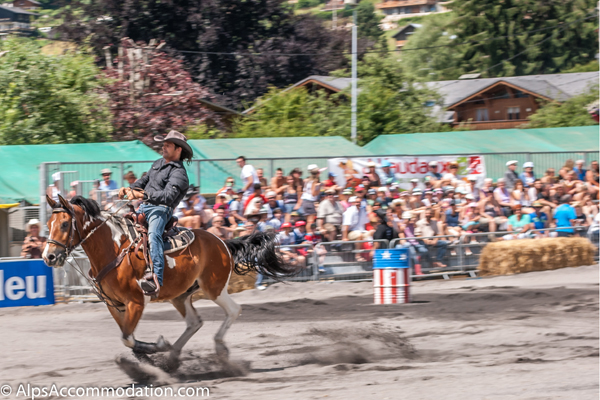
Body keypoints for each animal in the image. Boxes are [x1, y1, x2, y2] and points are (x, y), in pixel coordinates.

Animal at [42, 195, 290, 364]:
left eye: (64, 224)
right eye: (48, 225)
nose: (49, 256)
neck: (114, 250)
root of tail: (222, 242)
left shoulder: (136, 302)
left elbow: (127, 337)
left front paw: (156, 347)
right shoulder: (114, 305)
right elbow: (127, 336)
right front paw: (147, 358)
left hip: (214, 288)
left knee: (233, 310)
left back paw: (218, 349)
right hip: (181, 295)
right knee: (194, 322)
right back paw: (173, 357)